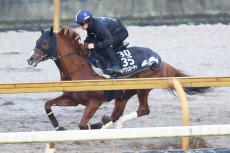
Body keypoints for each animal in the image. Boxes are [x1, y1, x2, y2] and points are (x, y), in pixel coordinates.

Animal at [27, 26, 208, 130]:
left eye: (44, 43)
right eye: (36, 40)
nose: (30, 59)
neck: (80, 68)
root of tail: (160, 61)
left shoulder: (95, 101)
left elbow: (82, 124)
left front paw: (96, 124)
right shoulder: (72, 98)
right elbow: (47, 104)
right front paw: (58, 126)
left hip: (141, 88)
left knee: (143, 110)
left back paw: (105, 121)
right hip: (123, 94)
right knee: (118, 114)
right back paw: (109, 120)